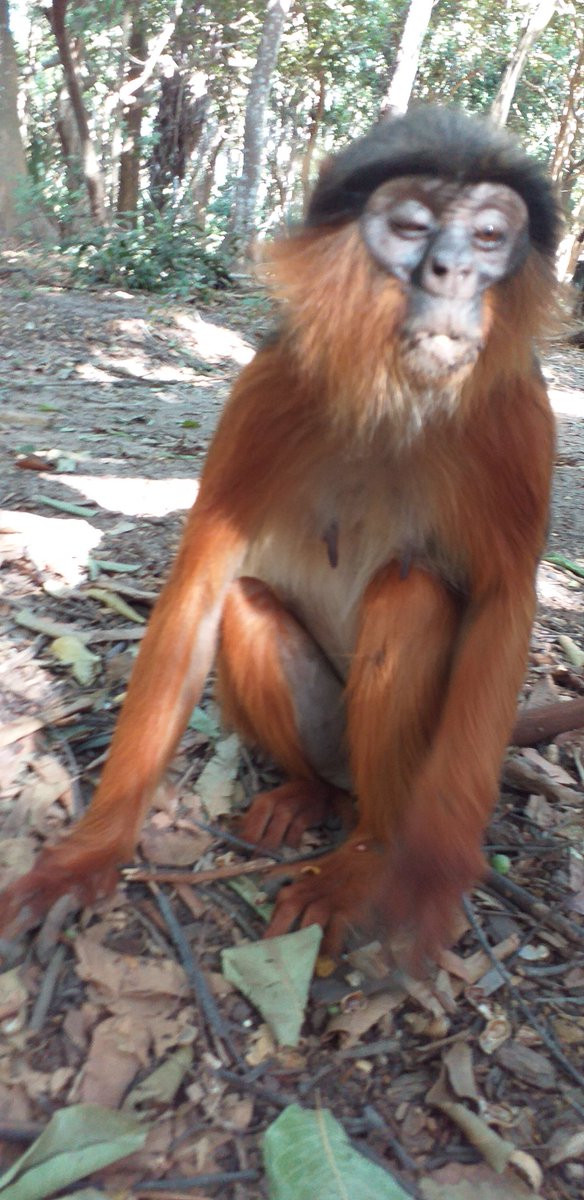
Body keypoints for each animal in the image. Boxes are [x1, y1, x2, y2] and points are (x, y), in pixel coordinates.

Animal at [0, 107, 561, 961]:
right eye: (411, 227)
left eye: (490, 237)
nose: (453, 274)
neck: (393, 398)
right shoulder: (274, 380)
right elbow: (202, 586)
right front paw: (89, 854)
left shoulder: (515, 409)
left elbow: (503, 602)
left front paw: (428, 871)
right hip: (328, 734)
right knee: (249, 603)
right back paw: (307, 791)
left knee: (411, 596)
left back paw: (367, 851)